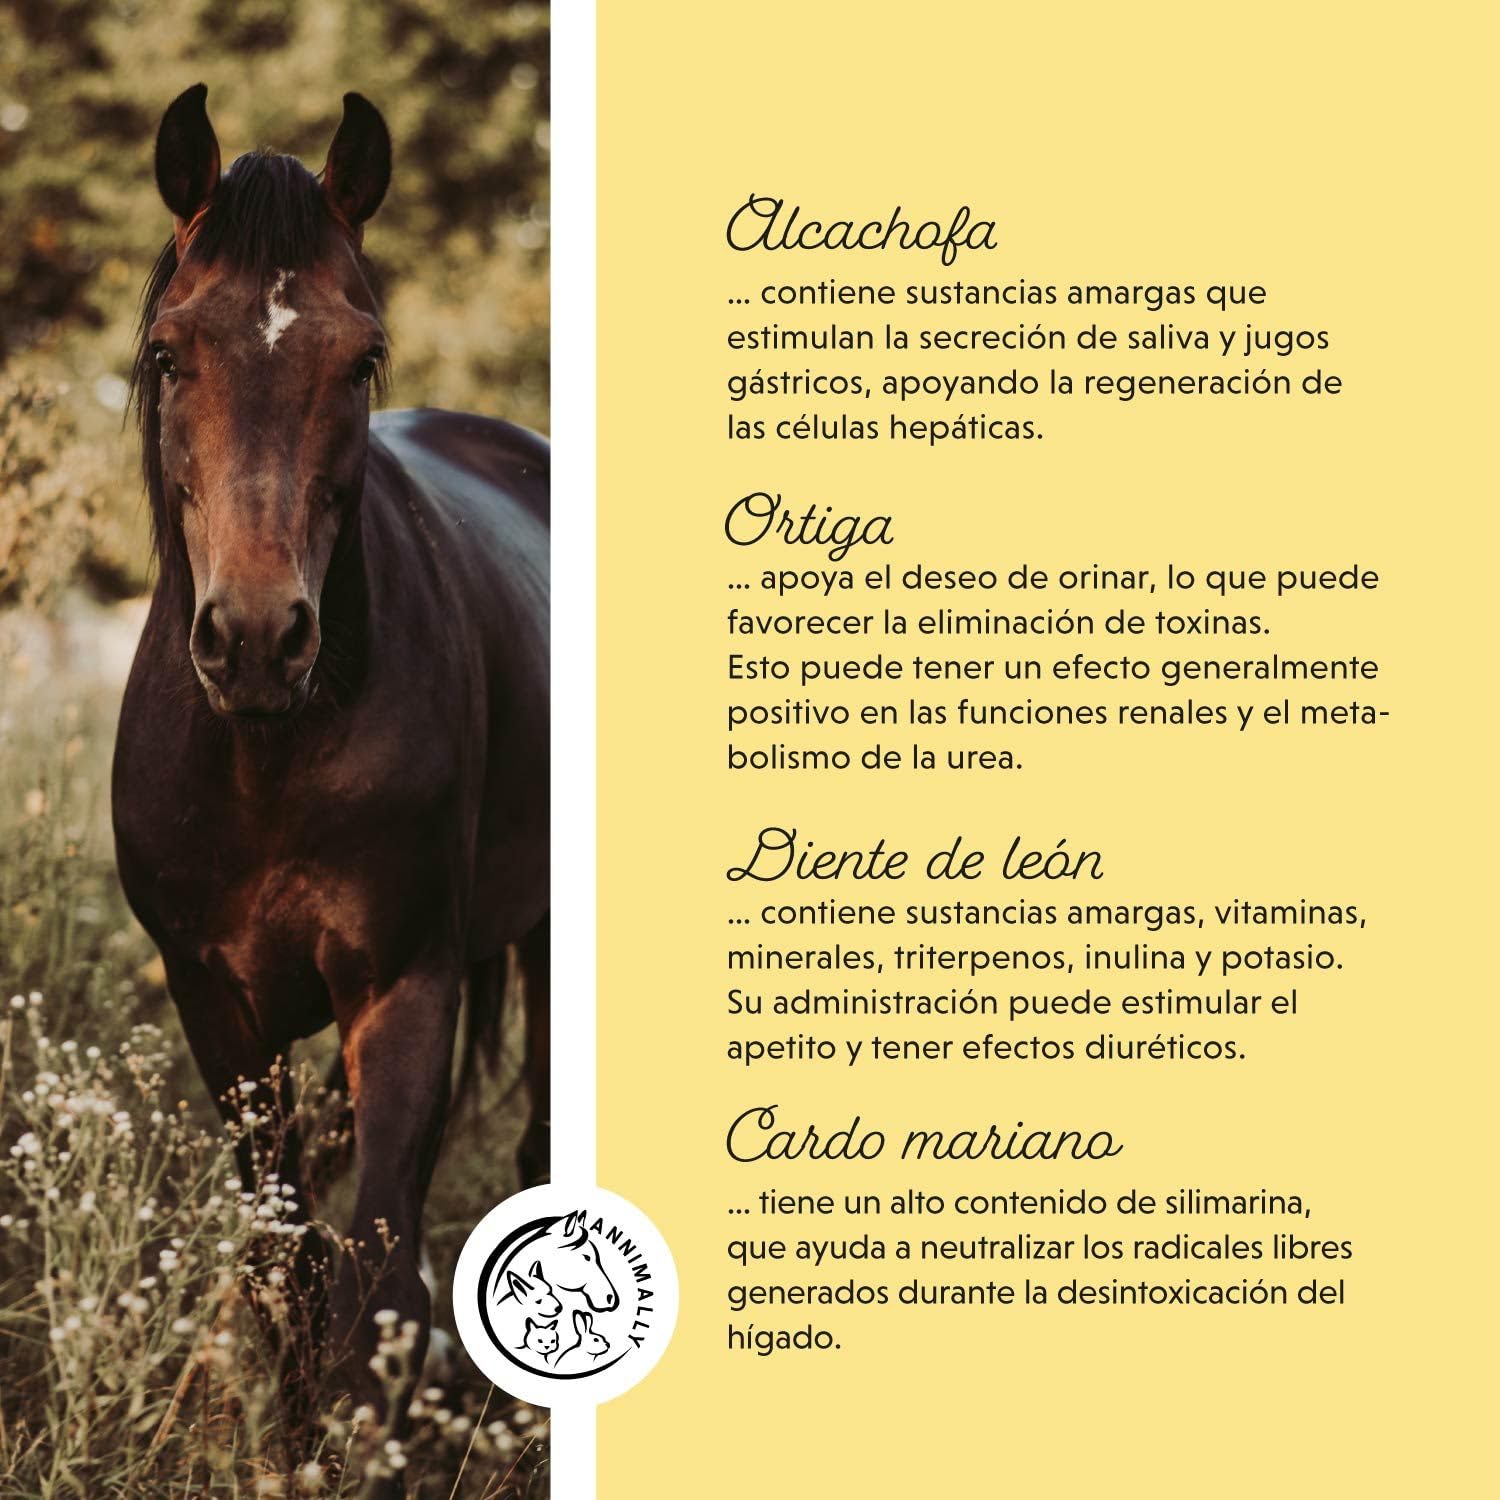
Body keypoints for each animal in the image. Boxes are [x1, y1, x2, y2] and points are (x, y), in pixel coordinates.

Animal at [111, 83, 550, 1443]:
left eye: (360, 358)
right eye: (167, 355)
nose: (257, 638)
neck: (267, 754)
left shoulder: (405, 989)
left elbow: (377, 1286)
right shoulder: (218, 1007)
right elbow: (286, 1271)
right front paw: (301, 1443)